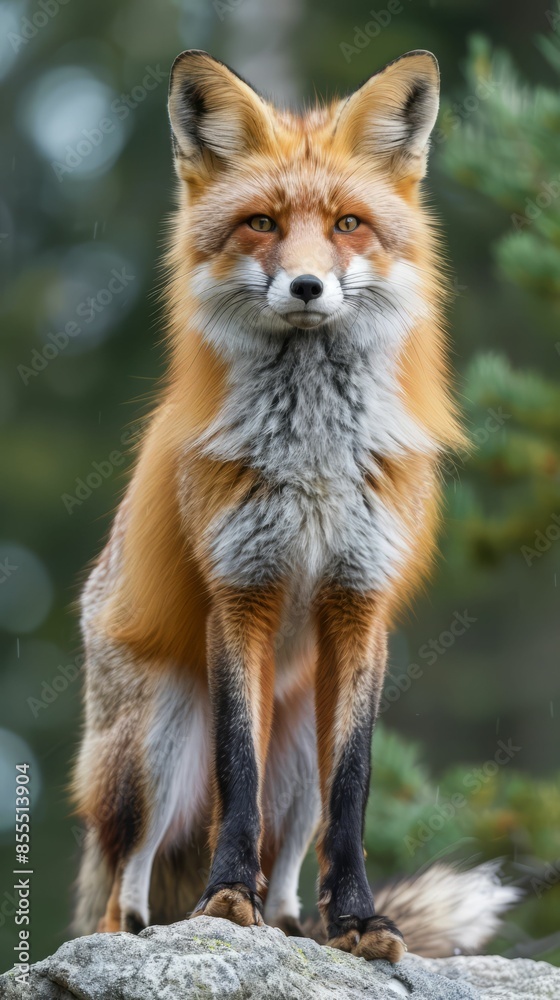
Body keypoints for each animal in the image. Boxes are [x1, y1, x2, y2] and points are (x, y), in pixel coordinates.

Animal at [72, 48, 519, 962]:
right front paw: (222, 903)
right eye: (262, 224)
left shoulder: (359, 603)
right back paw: (145, 929)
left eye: (348, 224)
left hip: (298, 749)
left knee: (292, 851)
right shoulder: (240, 591)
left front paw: (360, 922)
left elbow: (353, 796)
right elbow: (234, 777)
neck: (311, 460)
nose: (309, 285)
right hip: (155, 743)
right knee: (124, 875)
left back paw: (295, 928)